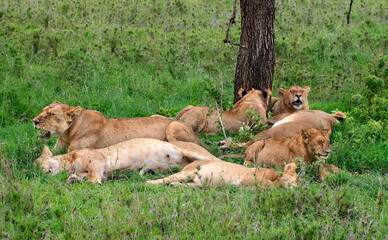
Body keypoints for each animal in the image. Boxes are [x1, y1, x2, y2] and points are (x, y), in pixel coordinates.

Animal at [35, 138, 221, 185]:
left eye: (42, 163)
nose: (44, 173)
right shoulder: (103, 172)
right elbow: (81, 176)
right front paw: (73, 179)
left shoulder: (97, 160)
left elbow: (93, 176)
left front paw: (92, 183)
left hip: (193, 151)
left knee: (215, 159)